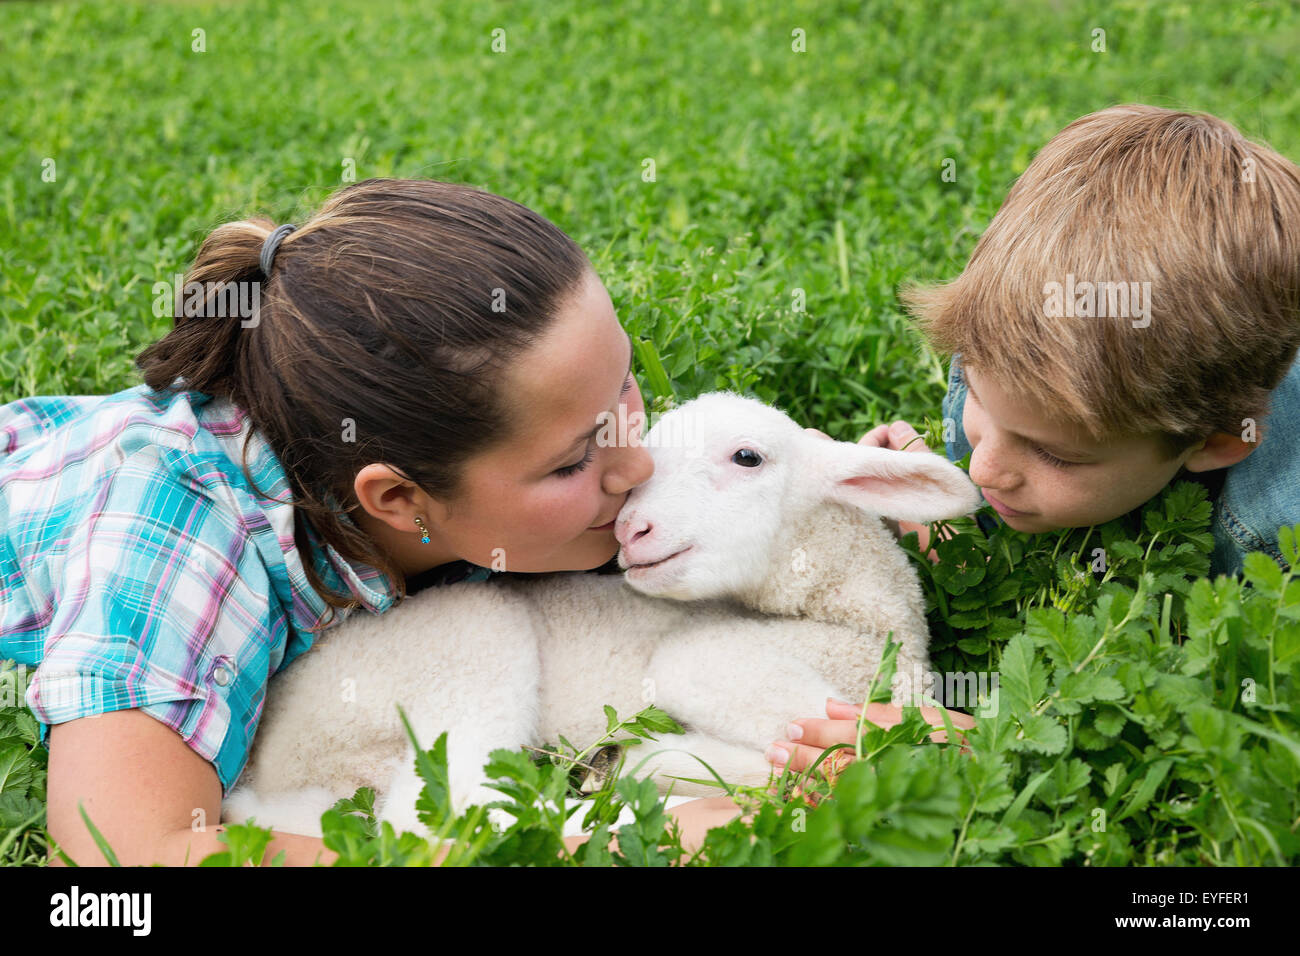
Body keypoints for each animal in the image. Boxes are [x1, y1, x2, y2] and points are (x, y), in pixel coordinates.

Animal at [223, 390, 977, 837]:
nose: (631, 530)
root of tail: (266, 763)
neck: (866, 629)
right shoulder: (717, 658)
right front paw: (666, 761)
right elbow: (821, 749)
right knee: (442, 821)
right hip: (467, 642)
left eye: (748, 457)